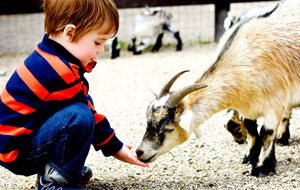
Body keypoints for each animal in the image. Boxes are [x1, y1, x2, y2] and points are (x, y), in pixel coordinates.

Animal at [137, 0, 300, 177]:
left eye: (168, 128)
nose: (139, 152)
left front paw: (262, 168)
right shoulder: (247, 108)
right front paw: (249, 158)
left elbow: (266, 133)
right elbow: (251, 128)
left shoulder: (275, 104)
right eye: (147, 123)